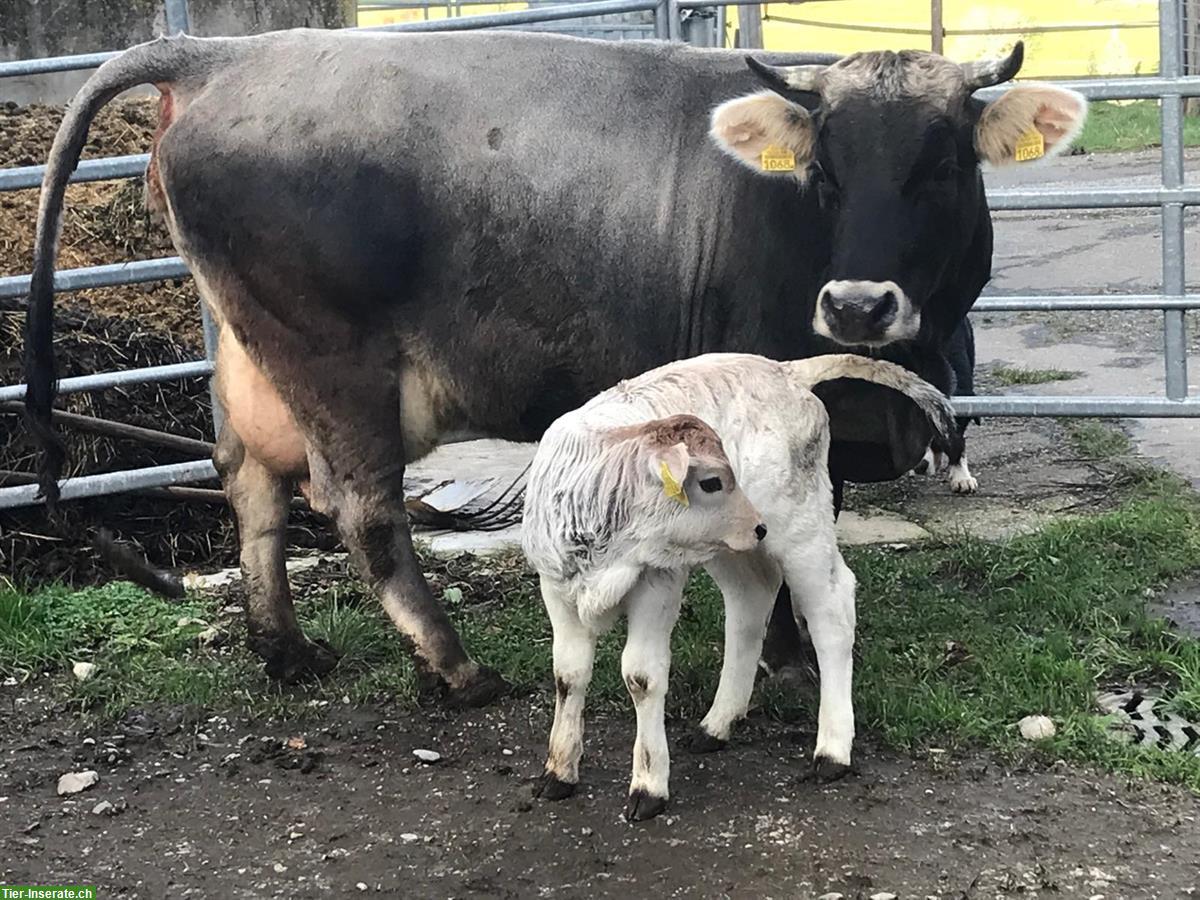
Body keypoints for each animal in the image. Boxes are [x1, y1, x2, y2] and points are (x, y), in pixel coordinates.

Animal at [23, 28, 1089, 715]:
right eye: (823, 170)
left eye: (943, 164)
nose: (858, 305)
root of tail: (226, 56)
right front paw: (787, 657)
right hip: (336, 362)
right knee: (362, 510)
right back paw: (455, 669)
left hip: (253, 360)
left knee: (251, 486)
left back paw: (286, 652)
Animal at [525, 355, 955, 825]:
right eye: (712, 481)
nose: (758, 525)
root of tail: (784, 369)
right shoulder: (556, 588)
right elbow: (568, 675)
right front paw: (559, 770)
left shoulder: (659, 581)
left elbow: (641, 676)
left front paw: (649, 784)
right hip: (729, 547)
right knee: (750, 602)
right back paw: (718, 723)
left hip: (801, 526)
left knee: (832, 610)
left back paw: (832, 750)